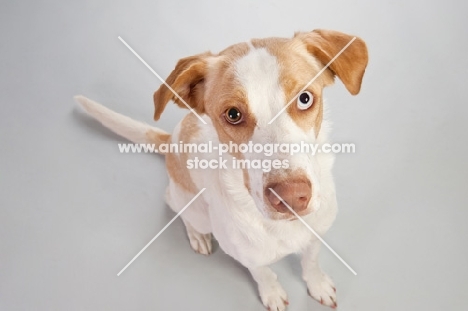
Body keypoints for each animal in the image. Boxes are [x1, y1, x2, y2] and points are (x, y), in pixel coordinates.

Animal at [75, 28, 368, 310]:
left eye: (305, 98)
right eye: (233, 115)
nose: (292, 197)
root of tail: (170, 142)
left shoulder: (316, 234)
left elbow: (311, 261)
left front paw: (317, 284)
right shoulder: (245, 255)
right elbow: (264, 273)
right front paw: (272, 293)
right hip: (193, 207)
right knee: (174, 203)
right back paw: (197, 235)